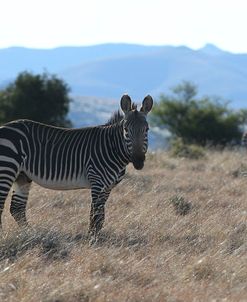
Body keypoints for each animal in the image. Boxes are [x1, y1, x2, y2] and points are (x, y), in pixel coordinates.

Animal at [0, 94, 152, 243]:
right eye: (125, 130)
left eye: (147, 130)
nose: (138, 161)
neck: (112, 148)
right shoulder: (97, 182)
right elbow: (97, 215)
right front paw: (92, 241)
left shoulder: (107, 187)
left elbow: (98, 215)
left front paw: (95, 237)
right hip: (7, 168)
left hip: (22, 176)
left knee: (17, 208)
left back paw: (31, 235)